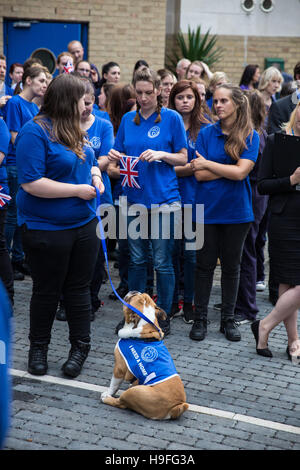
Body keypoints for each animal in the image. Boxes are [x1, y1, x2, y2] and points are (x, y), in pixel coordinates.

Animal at [102, 292, 189, 420]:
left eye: (130, 299)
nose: (133, 291)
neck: (145, 325)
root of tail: (176, 407)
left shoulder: (119, 368)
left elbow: (114, 384)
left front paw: (109, 392)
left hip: (135, 392)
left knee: (121, 403)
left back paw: (106, 398)